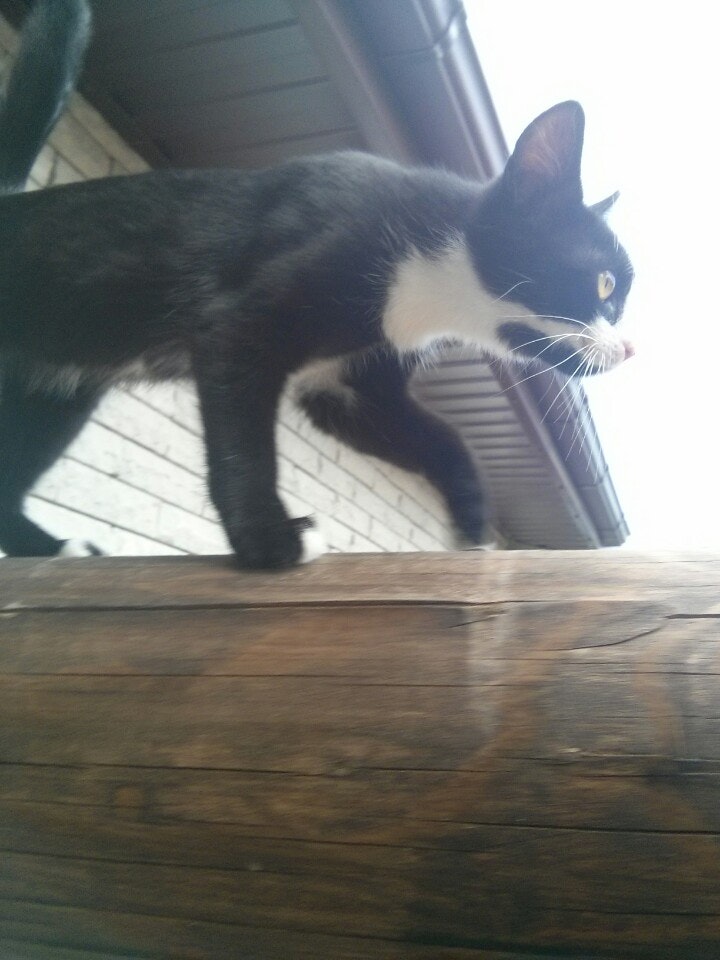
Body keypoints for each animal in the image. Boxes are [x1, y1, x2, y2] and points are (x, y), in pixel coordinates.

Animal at [0, 0, 633, 569]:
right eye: (606, 284)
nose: (630, 349)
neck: (424, 287)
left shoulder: (346, 388)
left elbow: (442, 437)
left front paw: (473, 524)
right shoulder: (241, 318)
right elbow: (244, 442)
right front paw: (269, 541)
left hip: (62, 384)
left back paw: (49, 547)